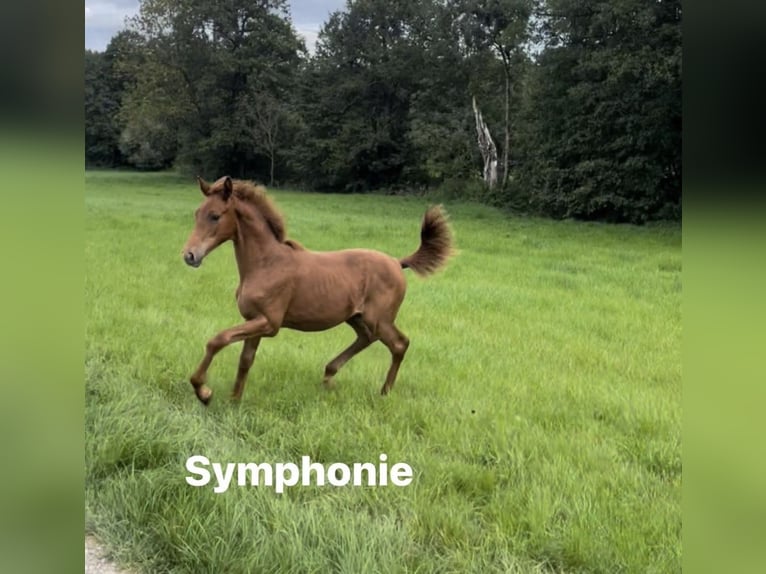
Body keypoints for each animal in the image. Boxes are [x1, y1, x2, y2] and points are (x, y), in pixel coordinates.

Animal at [181, 175, 454, 405]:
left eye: (215, 216)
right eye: (196, 213)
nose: (190, 255)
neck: (266, 263)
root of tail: (398, 262)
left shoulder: (269, 323)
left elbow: (218, 340)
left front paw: (203, 392)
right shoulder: (254, 320)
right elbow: (245, 360)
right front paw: (234, 401)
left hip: (379, 318)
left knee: (399, 344)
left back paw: (384, 392)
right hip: (356, 317)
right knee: (367, 338)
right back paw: (329, 375)